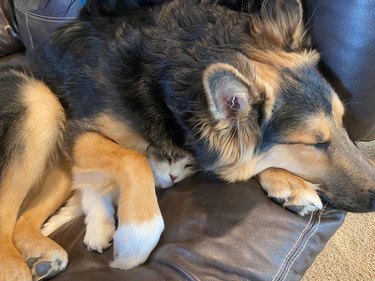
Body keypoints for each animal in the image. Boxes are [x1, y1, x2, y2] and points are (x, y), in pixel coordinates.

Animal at [41, 147, 197, 252]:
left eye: (190, 165)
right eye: (166, 155)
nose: (173, 177)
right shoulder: (93, 179)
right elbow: (97, 204)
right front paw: (99, 234)